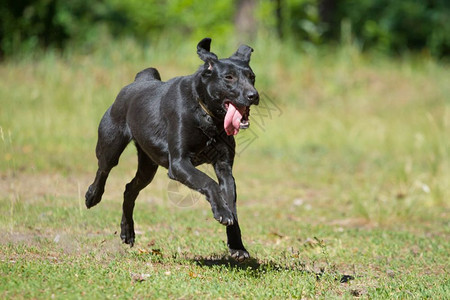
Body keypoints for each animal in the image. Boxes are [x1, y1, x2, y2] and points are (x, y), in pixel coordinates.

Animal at [85, 38, 258, 262]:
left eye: (252, 77)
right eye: (229, 77)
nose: (254, 95)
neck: (206, 115)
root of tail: (139, 80)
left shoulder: (225, 168)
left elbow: (232, 206)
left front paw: (237, 246)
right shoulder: (178, 163)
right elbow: (208, 182)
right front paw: (222, 212)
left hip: (148, 166)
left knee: (130, 189)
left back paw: (127, 232)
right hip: (110, 144)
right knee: (103, 169)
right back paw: (92, 196)